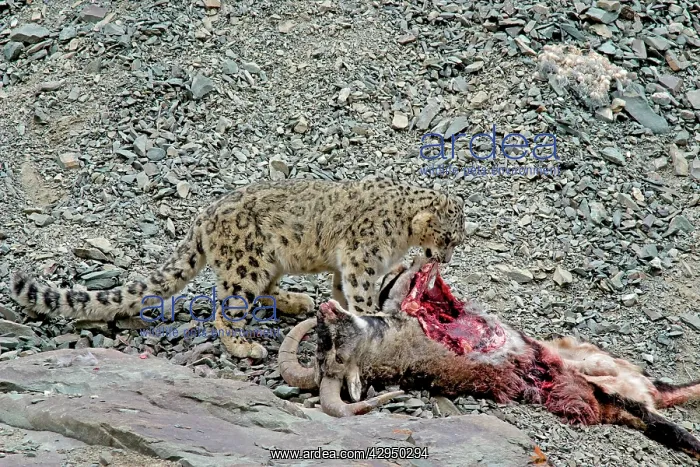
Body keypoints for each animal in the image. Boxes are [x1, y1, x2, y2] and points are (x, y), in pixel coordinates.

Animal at [10, 177, 466, 360]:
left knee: (266, 293)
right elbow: (362, 295)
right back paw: (244, 346)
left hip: (268, 263)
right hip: (244, 265)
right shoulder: (361, 260)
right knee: (225, 311)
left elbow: (342, 293)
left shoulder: (348, 266)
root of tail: (203, 216)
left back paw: (297, 301)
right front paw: (374, 320)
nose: (445, 259)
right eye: (448, 239)